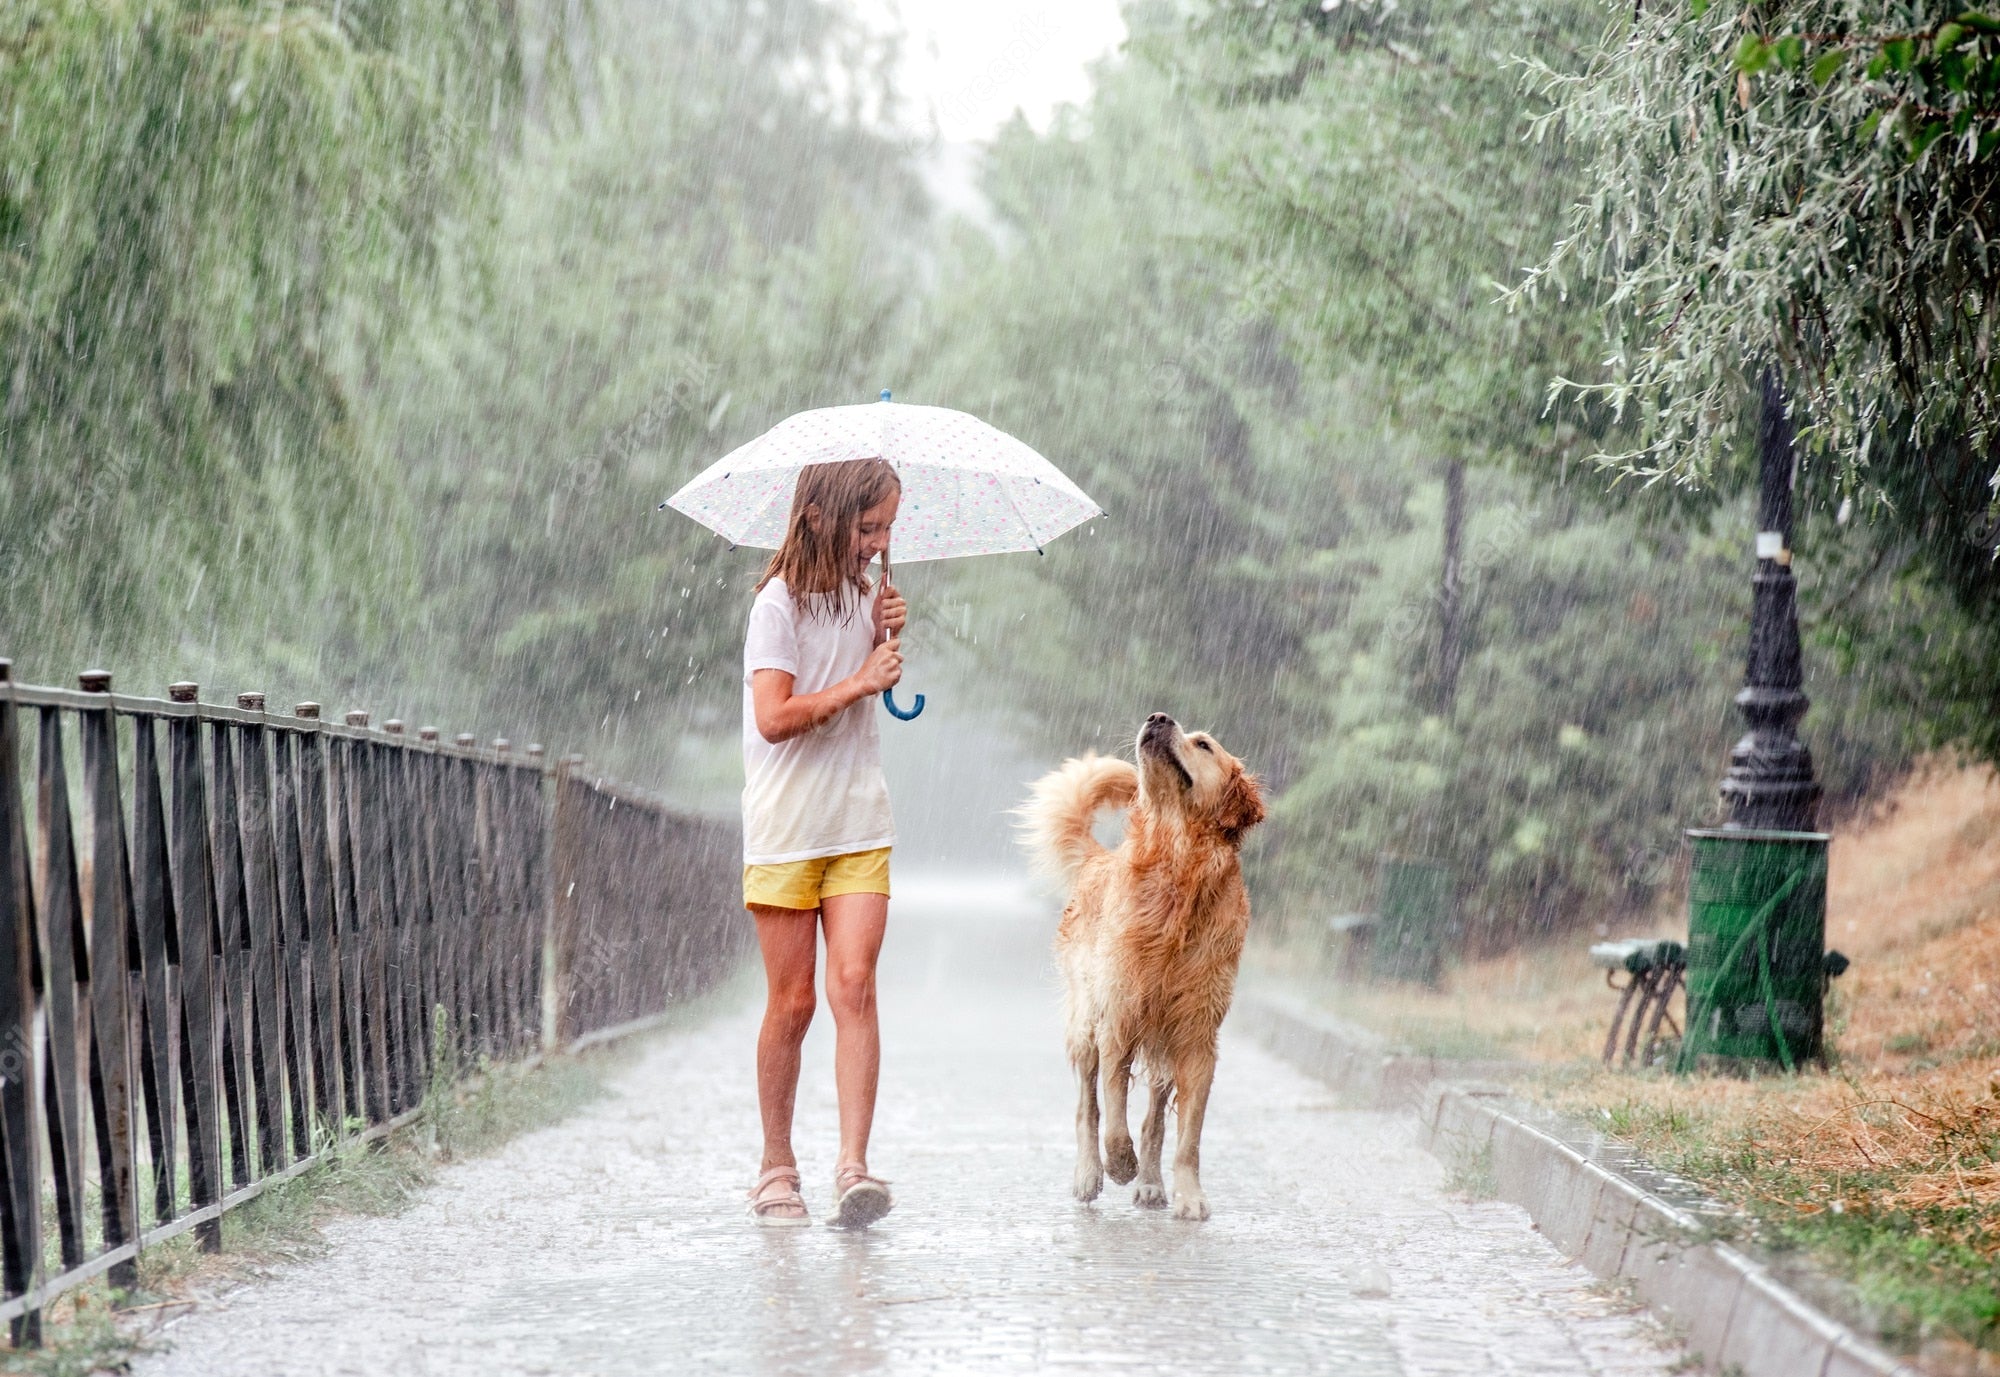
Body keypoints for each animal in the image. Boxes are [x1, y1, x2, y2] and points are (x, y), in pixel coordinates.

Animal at [1024, 716, 1256, 1224]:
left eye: (1204, 745)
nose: (1158, 718)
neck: (1176, 870)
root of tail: (1098, 859)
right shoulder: (1118, 1020)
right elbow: (1112, 1115)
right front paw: (1118, 1164)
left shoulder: (1196, 1038)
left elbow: (1187, 1138)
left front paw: (1189, 1194)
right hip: (1085, 1024)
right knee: (1087, 1107)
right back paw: (1090, 1174)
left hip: (1162, 1044)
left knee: (1152, 1119)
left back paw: (1150, 1184)